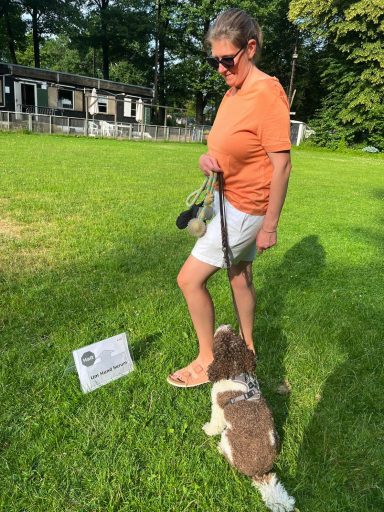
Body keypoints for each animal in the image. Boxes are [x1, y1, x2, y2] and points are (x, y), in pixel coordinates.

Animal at [202, 326, 296, 512]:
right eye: (235, 335)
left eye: (219, 340)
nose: (224, 325)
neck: (236, 370)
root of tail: (259, 473)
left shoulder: (217, 407)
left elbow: (215, 423)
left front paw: (208, 429)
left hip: (227, 438)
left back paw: (219, 449)